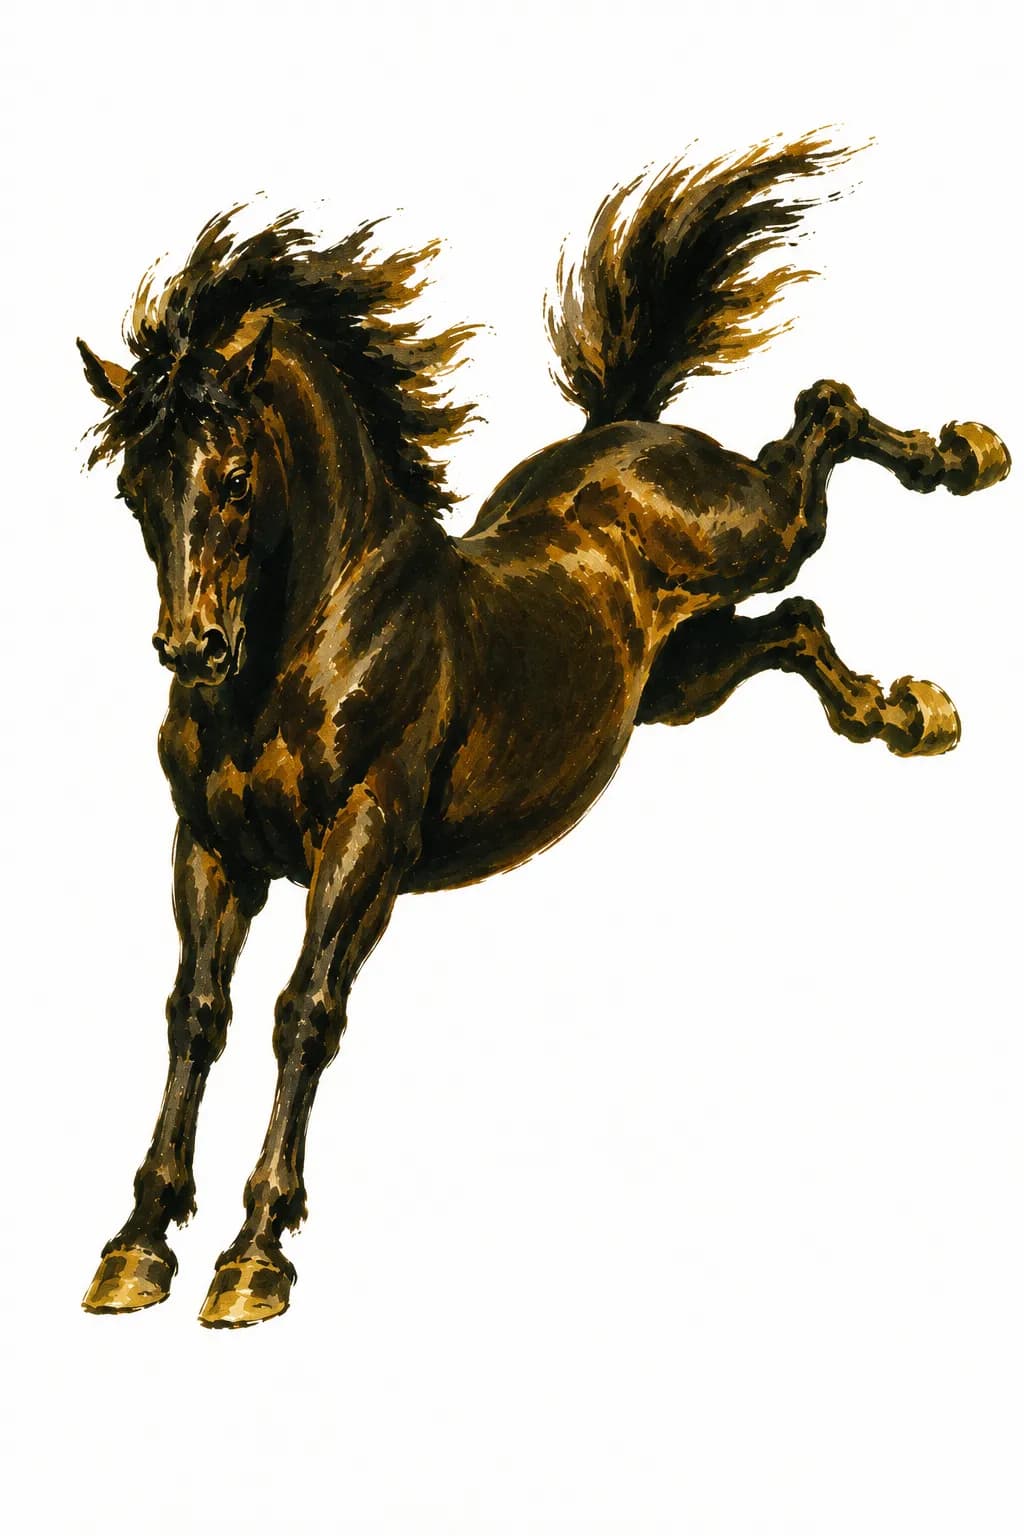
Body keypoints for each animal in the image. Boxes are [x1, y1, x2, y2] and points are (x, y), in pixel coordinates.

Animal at [77, 132, 1010, 1328]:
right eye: (134, 490)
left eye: (235, 477)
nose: (191, 650)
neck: (314, 640)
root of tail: (624, 431)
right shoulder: (211, 847)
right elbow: (195, 1012)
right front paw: (136, 1249)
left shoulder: (366, 843)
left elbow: (304, 1012)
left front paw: (253, 1260)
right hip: (679, 680)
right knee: (797, 623)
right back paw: (904, 713)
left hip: (756, 537)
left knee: (822, 425)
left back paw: (966, 457)